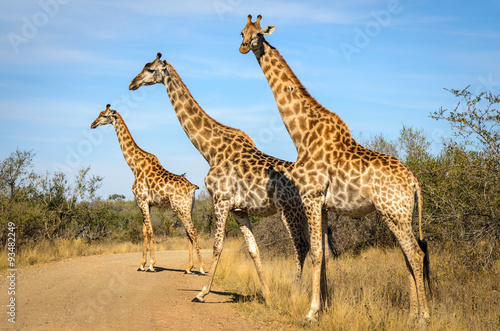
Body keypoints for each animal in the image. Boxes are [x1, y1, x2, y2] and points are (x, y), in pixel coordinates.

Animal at [92, 105, 205, 274]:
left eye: (105, 116)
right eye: (99, 113)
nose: (92, 124)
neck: (134, 165)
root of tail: (193, 187)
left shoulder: (142, 200)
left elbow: (150, 230)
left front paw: (151, 264)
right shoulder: (148, 203)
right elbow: (145, 231)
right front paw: (142, 264)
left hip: (180, 208)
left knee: (193, 230)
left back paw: (202, 267)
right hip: (189, 207)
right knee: (188, 232)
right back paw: (188, 268)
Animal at [129, 53, 314, 304]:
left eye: (150, 69)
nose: (132, 84)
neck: (210, 150)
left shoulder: (221, 200)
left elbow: (217, 245)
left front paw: (201, 292)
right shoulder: (239, 209)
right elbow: (253, 248)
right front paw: (267, 295)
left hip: (290, 211)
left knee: (301, 246)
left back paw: (295, 293)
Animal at [238, 14, 430, 322]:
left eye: (258, 34)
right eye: (242, 32)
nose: (244, 47)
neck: (301, 134)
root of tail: (414, 181)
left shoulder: (312, 197)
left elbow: (317, 253)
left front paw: (311, 311)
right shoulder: (325, 206)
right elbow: (325, 256)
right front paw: (324, 307)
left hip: (394, 212)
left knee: (415, 253)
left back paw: (423, 316)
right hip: (399, 214)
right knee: (408, 254)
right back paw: (412, 315)